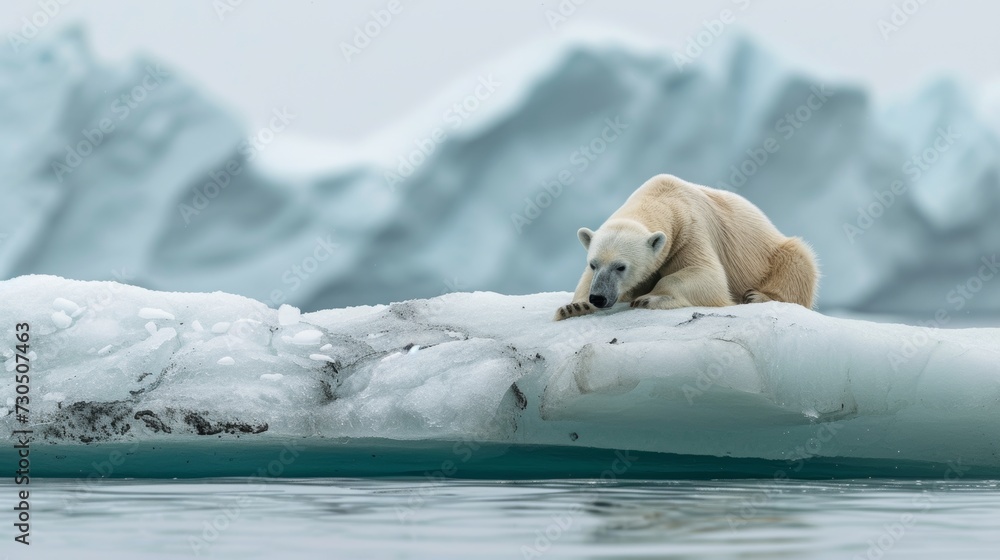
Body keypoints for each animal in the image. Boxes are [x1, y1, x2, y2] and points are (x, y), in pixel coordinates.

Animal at [554, 174, 818, 321]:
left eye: (621, 267)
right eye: (593, 264)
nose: (598, 298)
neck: (662, 197)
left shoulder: (690, 232)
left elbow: (707, 275)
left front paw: (649, 298)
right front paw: (574, 307)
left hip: (774, 252)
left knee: (798, 261)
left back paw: (757, 296)